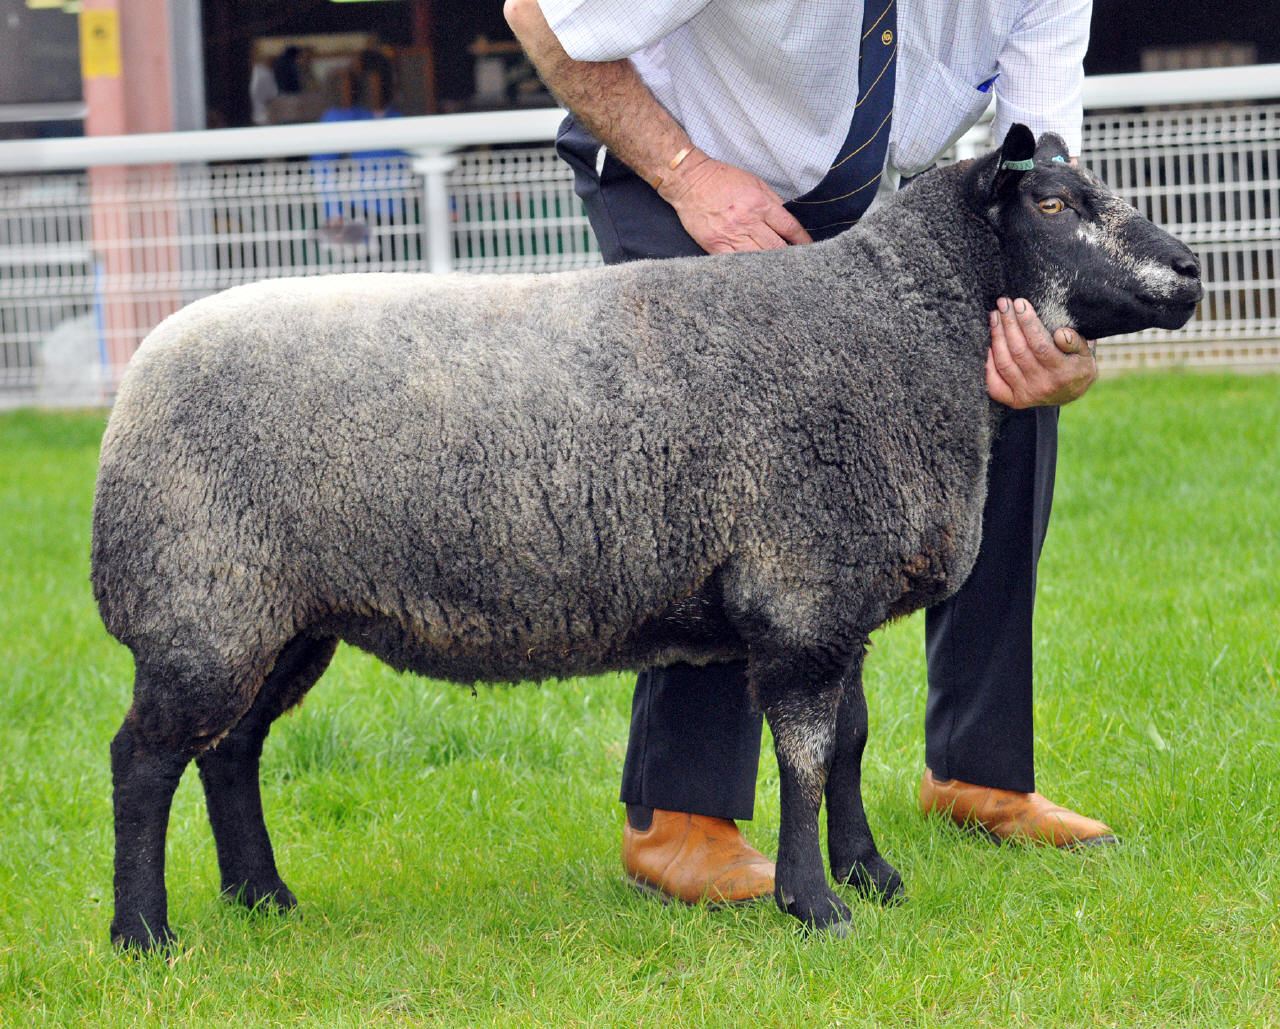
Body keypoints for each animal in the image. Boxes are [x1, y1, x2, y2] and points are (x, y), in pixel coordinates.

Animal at [93, 124, 1202, 951]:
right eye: (1052, 205)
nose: (1191, 270)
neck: (892, 323)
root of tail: (141, 374)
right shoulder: (801, 590)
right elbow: (804, 759)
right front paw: (816, 905)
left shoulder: (832, 597)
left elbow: (846, 745)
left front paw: (872, 874)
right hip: (203, 600)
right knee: (144, 760)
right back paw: (145, 934)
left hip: (278, 616)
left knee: (230, 752)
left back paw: (262, 898)